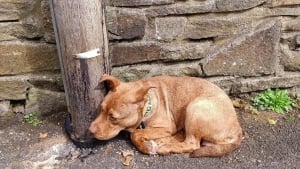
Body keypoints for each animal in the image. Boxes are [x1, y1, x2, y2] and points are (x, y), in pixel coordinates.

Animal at [88, 74, 241, 158]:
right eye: (101, 109)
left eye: (113, 117)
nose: (90, 130)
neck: (147, 105)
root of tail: (237, 131)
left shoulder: (166, 126)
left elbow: (135, 134)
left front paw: (145, 147)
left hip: (195, 106)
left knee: (192, 144)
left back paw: (165, 146)